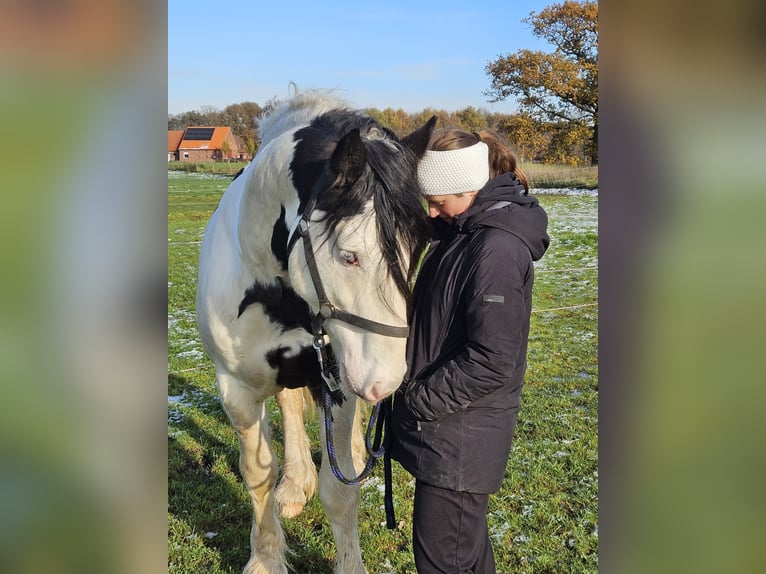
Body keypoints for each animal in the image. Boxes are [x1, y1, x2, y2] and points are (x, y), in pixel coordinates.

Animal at [196, 88, 438, 572]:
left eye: (417, 249)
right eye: (349, 255)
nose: (388, 382)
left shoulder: (338, 385)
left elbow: (340, 491)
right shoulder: (236, 390)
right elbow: (258, 475)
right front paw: (266, 558)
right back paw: (294, 483)